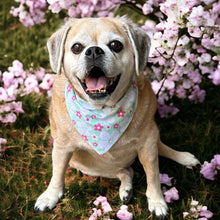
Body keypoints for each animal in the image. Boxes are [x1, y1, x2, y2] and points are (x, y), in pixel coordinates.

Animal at [34, 17, 199, 217]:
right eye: (77, 47)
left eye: (115, 45)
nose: (94, 51)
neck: (102, 111)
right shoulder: (63, 148)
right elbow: (57, 173)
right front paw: (50, 196)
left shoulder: (147, 144)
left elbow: (153, 175)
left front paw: (157, 200)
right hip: (93, 167)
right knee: (126, 171)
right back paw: (126, 188)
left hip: (151, 139)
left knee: (159, 150)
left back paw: (184, 158)